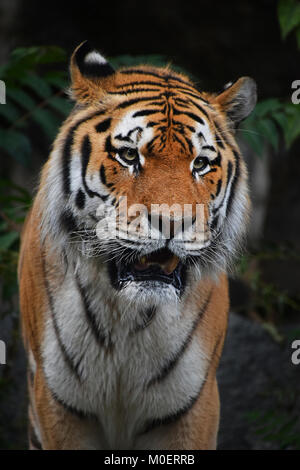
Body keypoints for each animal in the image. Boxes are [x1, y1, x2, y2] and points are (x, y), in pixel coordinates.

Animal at [18, 40, 255, 448]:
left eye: (201, 163)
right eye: (129, 155)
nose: (173, 222)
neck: (126, 317)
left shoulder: (192, 406)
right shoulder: (58, 404)